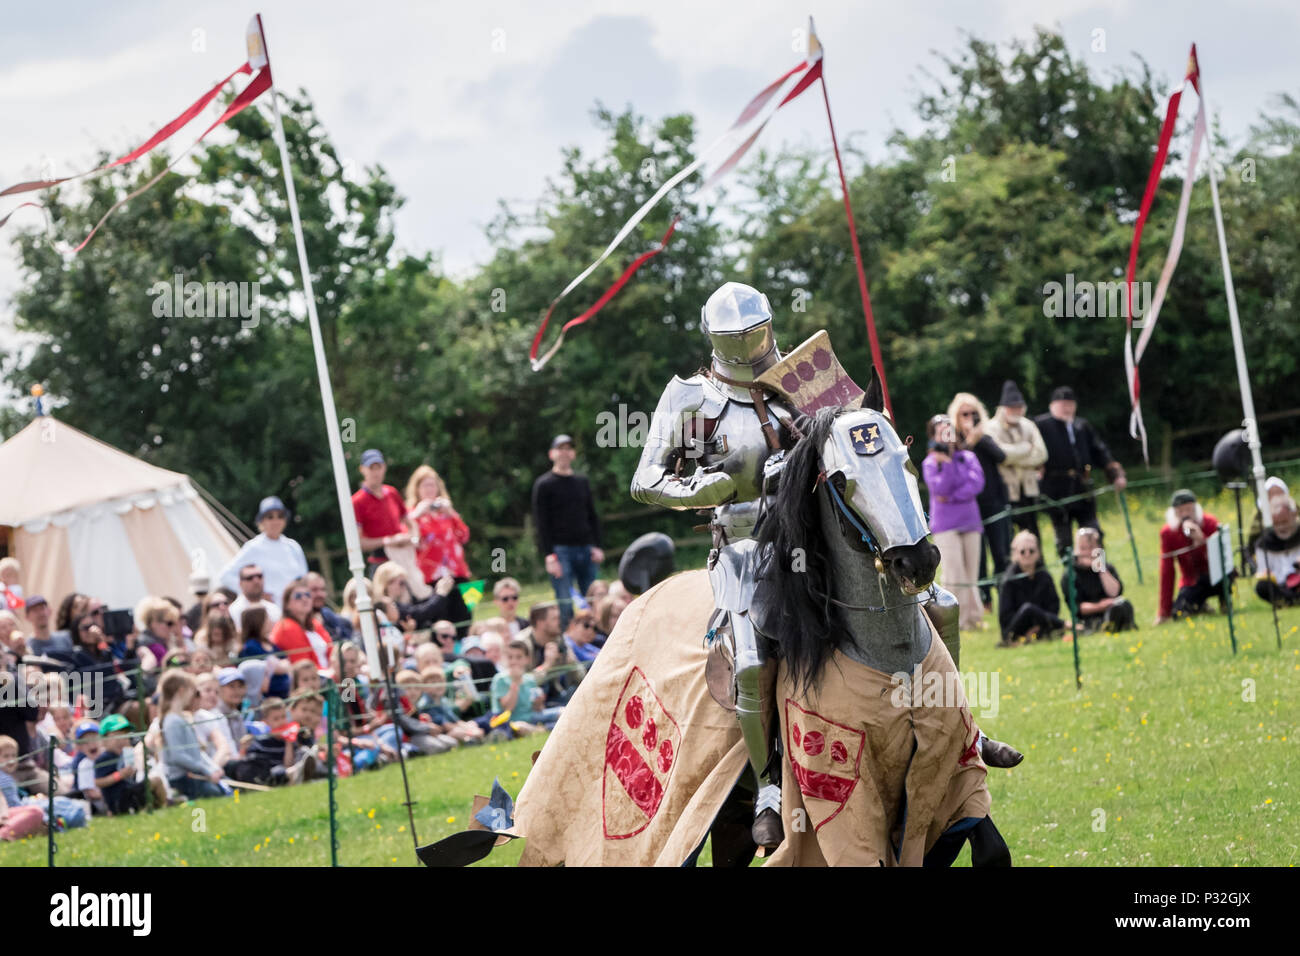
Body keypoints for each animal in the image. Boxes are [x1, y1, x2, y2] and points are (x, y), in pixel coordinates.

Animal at [421, 390, 1008, 868]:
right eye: (844, 480)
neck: (887, 659)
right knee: (749, 672)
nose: (919, 561)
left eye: (907, 464)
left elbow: (990, 845)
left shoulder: (948, 781)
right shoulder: (844, 808)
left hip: (730, 818)